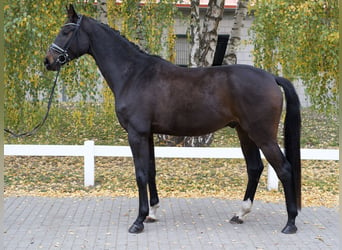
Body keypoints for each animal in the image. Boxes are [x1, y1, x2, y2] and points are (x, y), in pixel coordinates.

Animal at [44, 4, 300, 234]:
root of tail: (272, 77)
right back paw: (240, 214)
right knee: (255, 168)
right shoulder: (147, 134)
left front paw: (138, 221)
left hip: (262, 135)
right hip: (244, 132)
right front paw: (152, 213)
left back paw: (290, 223)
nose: (48, 61)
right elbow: (151, 171)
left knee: (284, 168)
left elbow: (140, 174)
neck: (134, 74)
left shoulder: (136, 134)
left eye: (66, 31)